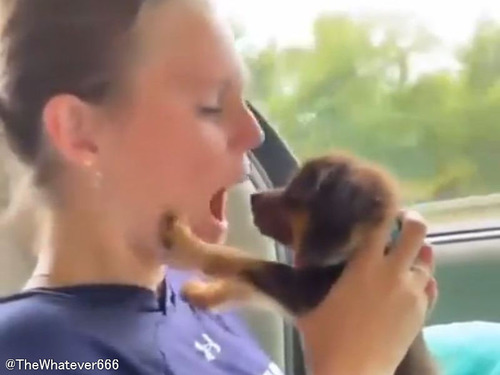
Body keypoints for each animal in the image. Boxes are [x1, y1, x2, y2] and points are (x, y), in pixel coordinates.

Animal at [161, 151, 438, 375]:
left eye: (296, 193)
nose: (252, 198)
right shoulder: (292, 292)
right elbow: (242, 284)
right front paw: (202, 293)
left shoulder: (302, 290)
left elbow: (237, 258)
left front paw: (186, 244)